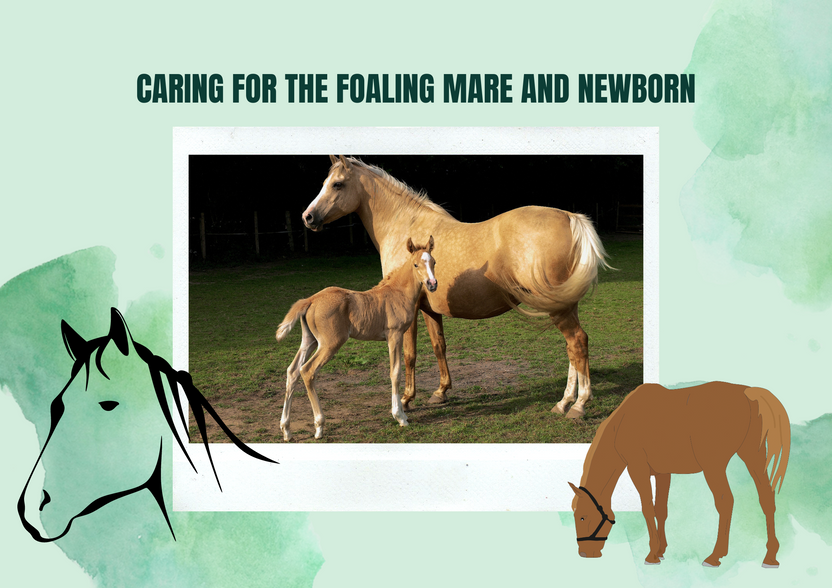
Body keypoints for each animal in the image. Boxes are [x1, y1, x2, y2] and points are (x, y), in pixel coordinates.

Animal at [275, 237, 438, 441]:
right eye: (416, 264)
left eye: (434, 262)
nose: (432, 284)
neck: (398, 293)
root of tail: (310, 300)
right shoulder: (394, 335)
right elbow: (395, 372)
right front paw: (400, 416)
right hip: (330, 343)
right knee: (307, 371)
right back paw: (319, 426)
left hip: (309, 340)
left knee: (292, 371)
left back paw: (286, 430)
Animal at [301, 155, 611, 419]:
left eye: (337, 184)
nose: (308, 217)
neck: (406, 227)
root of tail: (569, 217)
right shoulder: (430, 309)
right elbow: (439, 346)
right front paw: (441, 392)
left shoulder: (409, 312)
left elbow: (409, 355)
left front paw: (406, 400)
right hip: (565, 305)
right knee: (572, 349)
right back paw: (564, 402)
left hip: (558, 308)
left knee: (577, 343)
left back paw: (578, 405)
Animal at [569, 381, 790, 568]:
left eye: (582, 517)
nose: (584, 554)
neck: (623, 422)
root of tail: (747, 393)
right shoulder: (662, 473)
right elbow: (660, 509)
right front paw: (661, 550)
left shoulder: (637, 469)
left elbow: (647, 509)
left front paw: (652, 555)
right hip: (754, 457)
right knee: (766, 498)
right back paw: (770, 557)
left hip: (714, 467)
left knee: (725, 501)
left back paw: (714, 556)